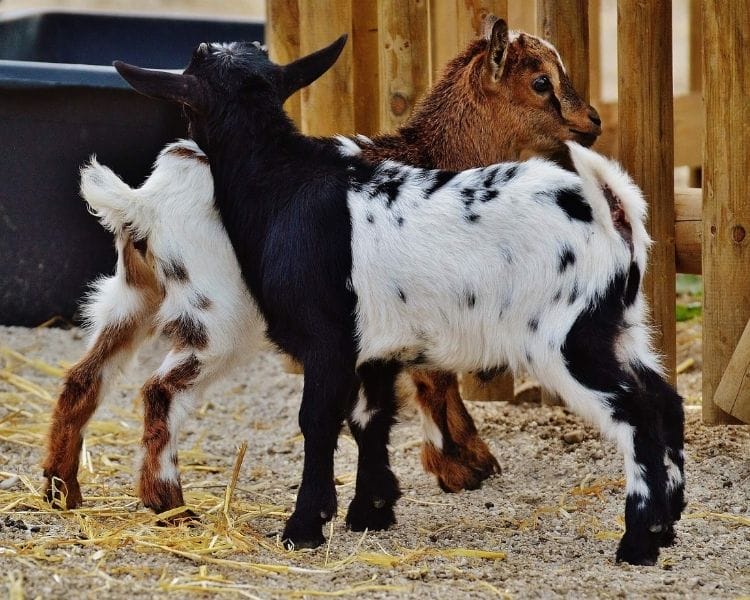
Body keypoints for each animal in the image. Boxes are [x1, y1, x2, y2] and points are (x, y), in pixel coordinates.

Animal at [109, 36, 684, 565]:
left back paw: (637, 541)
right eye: (541, 82)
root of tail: (615, 213)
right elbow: (371, 417)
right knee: (664, 400)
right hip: (621, 327)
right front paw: (371, 512)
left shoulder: (327, 342)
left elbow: (318, 421)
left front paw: (305, 525)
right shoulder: (376, 345)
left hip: (567, 340)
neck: (282, 184)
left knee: (634, 414)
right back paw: (667, 523)